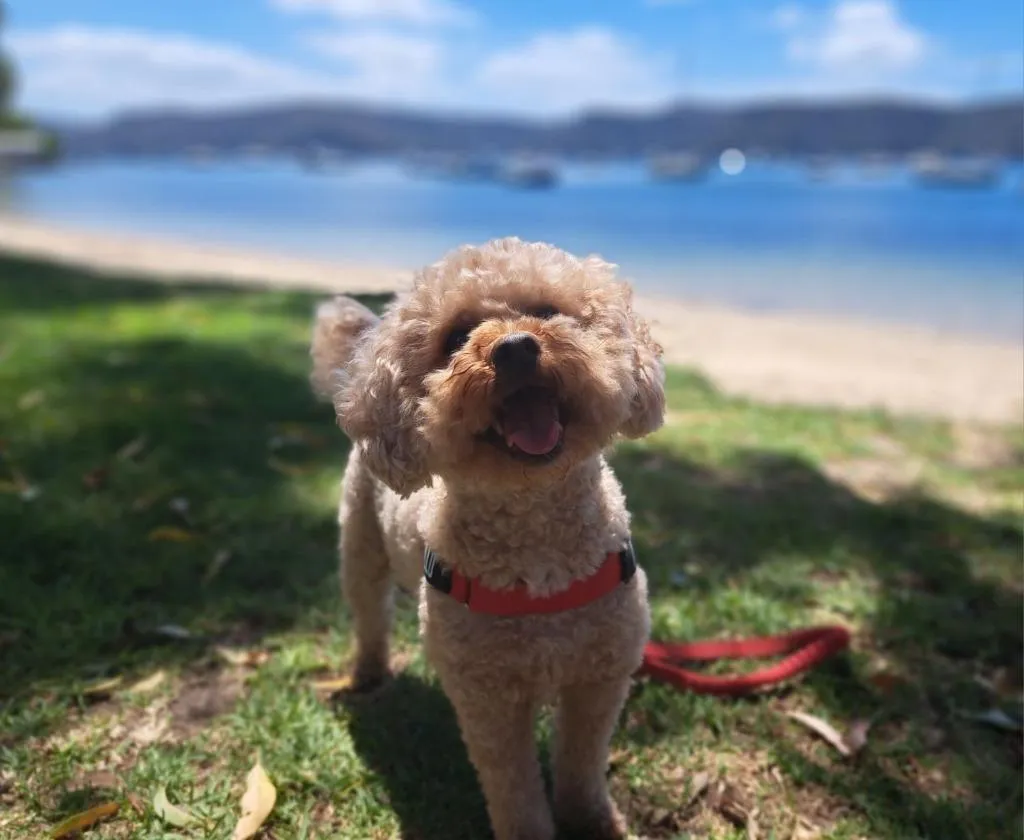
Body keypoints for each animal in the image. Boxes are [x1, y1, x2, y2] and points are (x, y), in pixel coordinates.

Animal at [311, 237, 665, 840]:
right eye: (455, 338)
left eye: (546, 310)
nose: (516, 349)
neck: (537, 543)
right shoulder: (489, 701)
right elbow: (515, 791)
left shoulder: (599, 678)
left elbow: (582, 765)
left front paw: (595, 821)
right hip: (359, 545)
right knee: (369, 617)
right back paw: (367, 674)